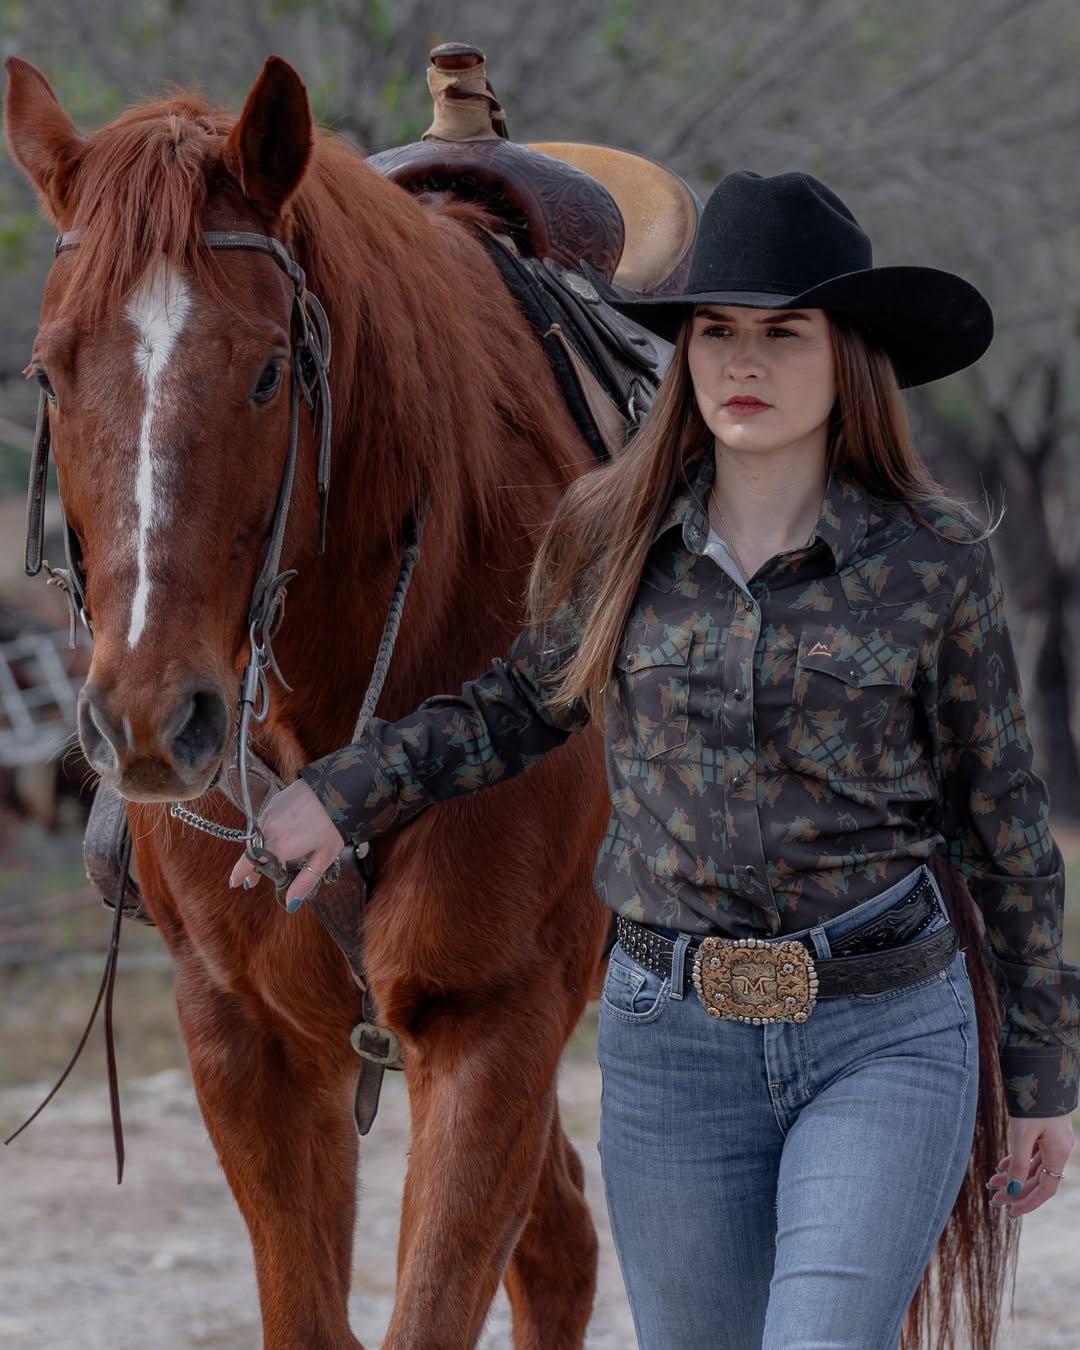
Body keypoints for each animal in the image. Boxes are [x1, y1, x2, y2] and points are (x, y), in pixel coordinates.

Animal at [6, 55, 615, 1350]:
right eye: (48, 372)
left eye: (267, 371)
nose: (150, 720)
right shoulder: (245, 1045)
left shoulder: (494, 1024)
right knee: (562, 1238)